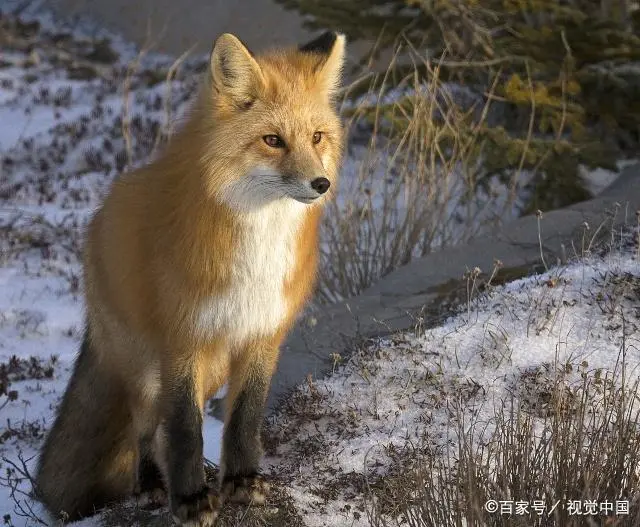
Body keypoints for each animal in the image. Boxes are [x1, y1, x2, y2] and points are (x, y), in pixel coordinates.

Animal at [35, 31, 344, 524]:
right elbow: (183, 428)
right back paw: (151, 485)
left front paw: (241, 482)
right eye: (272, 140)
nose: (320, 184)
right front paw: (191, 499)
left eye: (317, 137)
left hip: (210, 365)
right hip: (146, 366)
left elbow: (243, 419)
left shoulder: (262, 333)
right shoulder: (183, 336)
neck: (258, 250)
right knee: (147, 425)